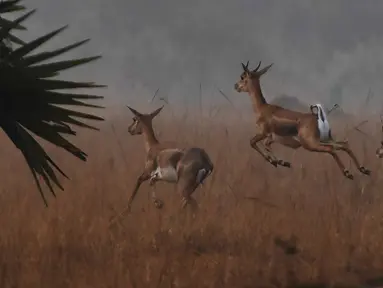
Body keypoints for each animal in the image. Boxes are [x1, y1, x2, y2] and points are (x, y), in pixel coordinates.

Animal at [234, 60, 372, 179]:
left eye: (243, 76)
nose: (236, 86)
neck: (262, 108)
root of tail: (318, 118)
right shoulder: (271, 138)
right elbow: (266, 145)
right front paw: (280, 161)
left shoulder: (263, 133)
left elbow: (252, 142)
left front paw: (276, 161)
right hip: (324, 139)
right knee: (344, 144)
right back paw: (364, 169)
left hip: (310, 144)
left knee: (331, 149)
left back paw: (348, 173)